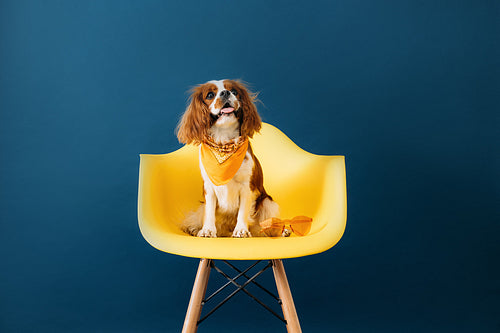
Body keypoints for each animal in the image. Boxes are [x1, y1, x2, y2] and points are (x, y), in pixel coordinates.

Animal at [176, 79, 280, 237]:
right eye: (210, 95)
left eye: (235, 91)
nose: (225, 93)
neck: (223, 142)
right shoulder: (209, 188)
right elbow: (209, 212)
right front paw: (207, 230)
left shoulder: (247, 187)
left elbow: (243, 211)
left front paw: (241, 230)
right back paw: (193, 228)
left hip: (268, 202)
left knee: (264, 227)